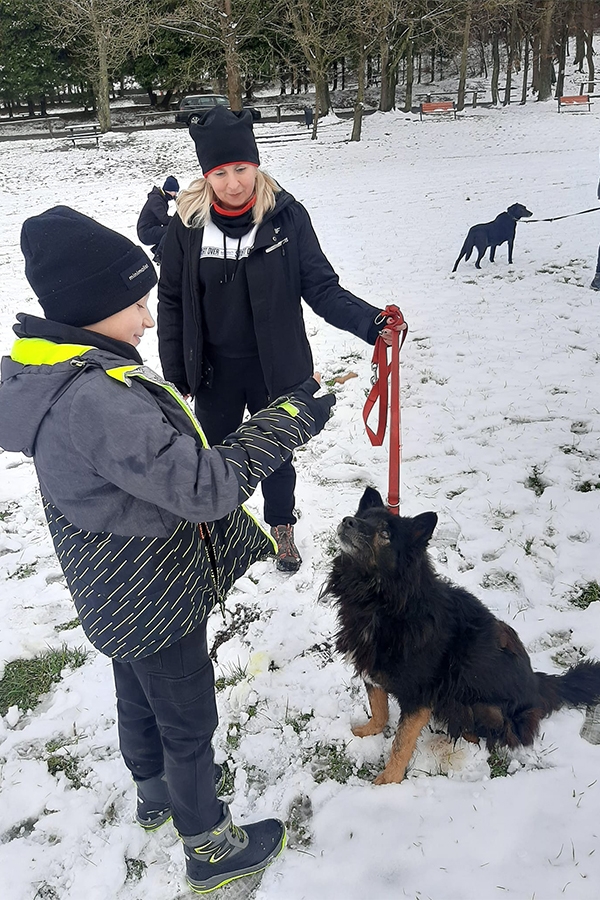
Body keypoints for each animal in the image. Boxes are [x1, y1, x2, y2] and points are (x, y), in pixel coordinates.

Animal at [326, 488, 600, 784]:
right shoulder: (373, 669)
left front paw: (389, 780)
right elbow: (379, 709)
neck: (384, 602)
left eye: (385, 533)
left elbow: (402, 742)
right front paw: (367, 732)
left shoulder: (419, 696)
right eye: (363, 517)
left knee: (486, 735)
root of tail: (539, 686)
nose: (348, 521)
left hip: (472, 704)